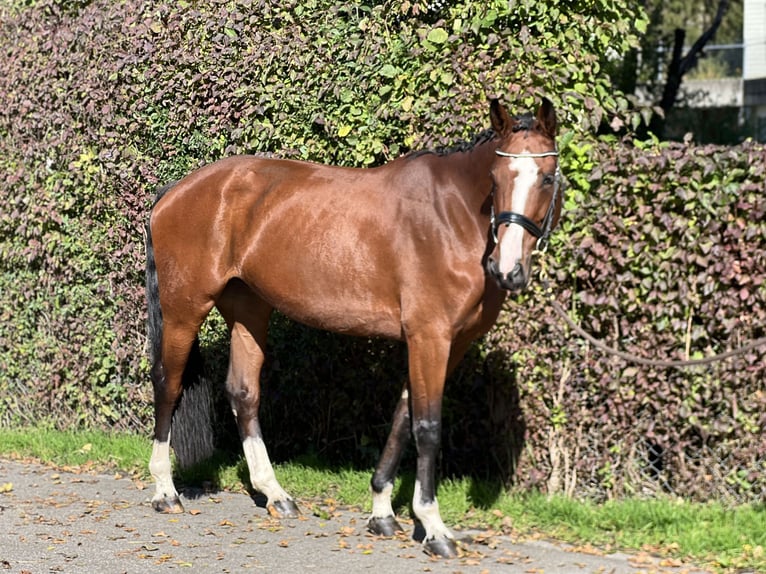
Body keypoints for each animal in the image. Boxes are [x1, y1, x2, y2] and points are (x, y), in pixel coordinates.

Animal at [146, 98, 564, 560]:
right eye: (495, 178)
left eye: (547, 177)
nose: (507, 270)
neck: (450, 216)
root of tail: (174, 191)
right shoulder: (429, 337)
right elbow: (428, 427)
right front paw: (434, 529)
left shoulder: (446, 343)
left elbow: (404, 416)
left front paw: (382, 512)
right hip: (185, 309)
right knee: (168, 383)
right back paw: (165, 492)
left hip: (249, 310)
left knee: (243, 393)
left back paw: (275, 494)